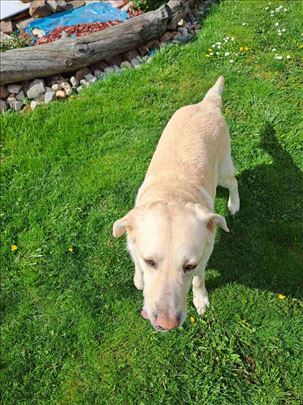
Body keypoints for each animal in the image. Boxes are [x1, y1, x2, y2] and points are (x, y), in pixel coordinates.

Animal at [113, 76, 240, 332]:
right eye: (150, 261)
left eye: (189, 266)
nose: (167, 324)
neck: (172, 194)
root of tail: (206, 104)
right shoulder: (132, 241)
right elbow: (135, 260)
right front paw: (139, 279)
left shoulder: (204, 255)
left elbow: (199, 280)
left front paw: (200, 300)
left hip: (223, 170)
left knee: (234, 181)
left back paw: (234, 204)